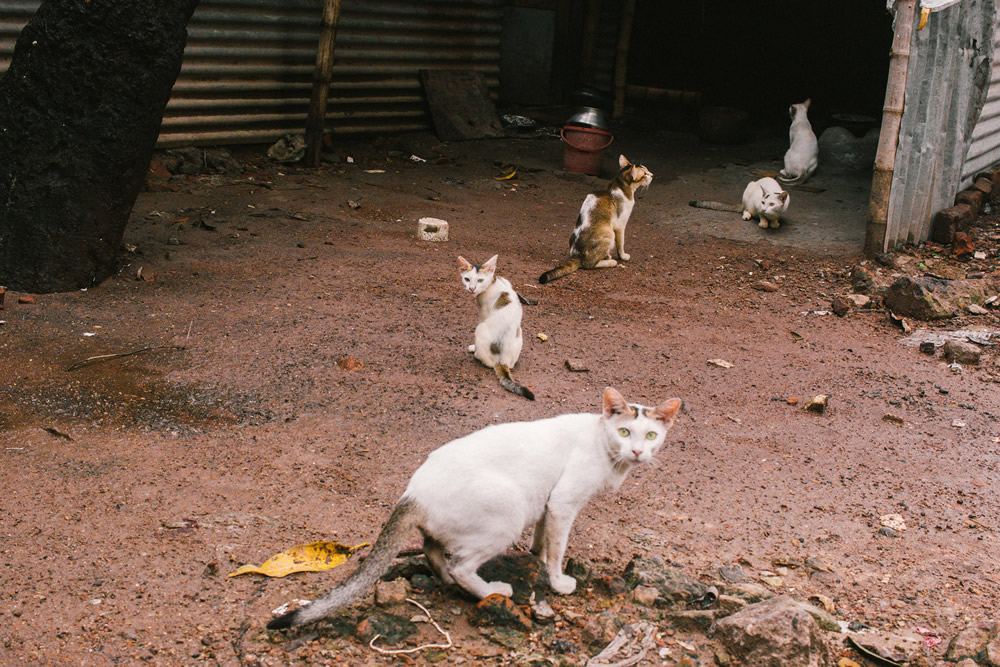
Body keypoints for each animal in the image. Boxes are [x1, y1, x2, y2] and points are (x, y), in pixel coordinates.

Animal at [458, 254, 536, 402]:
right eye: (467, 279)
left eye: (480, 280)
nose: (472, 288)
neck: (494, 281)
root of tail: (502, 360)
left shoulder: (483, 313)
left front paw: (473, 347)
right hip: (520, 334)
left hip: (480, 329)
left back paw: (476, 353)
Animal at [544, 155, 652, 284]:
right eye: (645, 173)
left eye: (647, 171)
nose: (652, 175)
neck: (620, 184)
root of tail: (576, 255)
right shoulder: (620, 226)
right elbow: (621, 244)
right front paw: (623, 256)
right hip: (609, 232)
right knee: (588, 264)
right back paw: (610, 261)